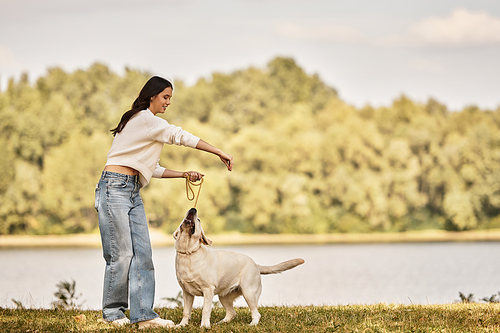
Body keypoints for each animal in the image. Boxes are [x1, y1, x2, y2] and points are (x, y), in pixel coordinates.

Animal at [172, 208, 304, 326]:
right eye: (185, 215)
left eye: (198, 219)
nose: (193, 209)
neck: (188, 253)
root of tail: (255, 264)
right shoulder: (187, 293)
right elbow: (186, 311)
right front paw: (182, 325)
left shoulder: (208, 290)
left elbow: (205, 310)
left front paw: (204, 326)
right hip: (224, 296)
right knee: (232, 313)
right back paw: (220, 323)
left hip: (249, 292)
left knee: (256, 313)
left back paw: (252, 324)